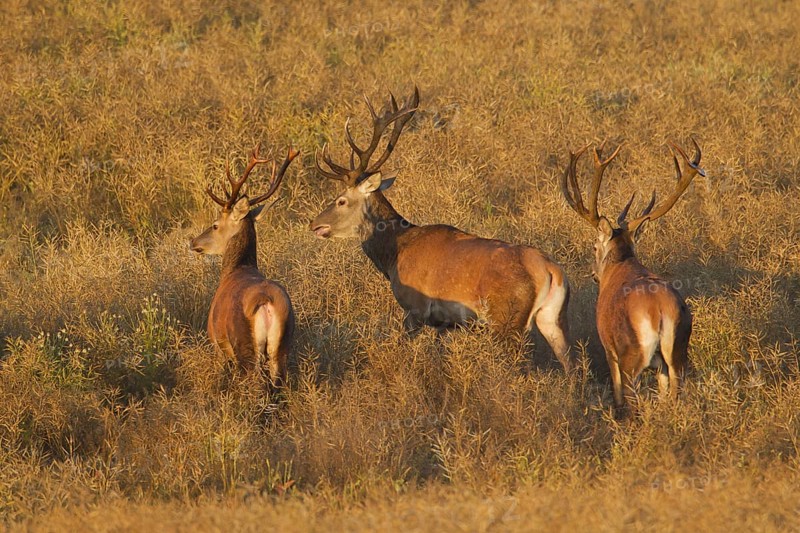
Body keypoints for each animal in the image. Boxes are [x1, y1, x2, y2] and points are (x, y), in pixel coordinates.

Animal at [190, 143, 300, 390]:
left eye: (215, 225)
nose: (194, 242)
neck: (236, 269)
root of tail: (267, 302)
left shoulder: (218, 343)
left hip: (244, 346)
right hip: (283, 346)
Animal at [309, 87, 575, 372]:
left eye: (341, 200)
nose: (315, 224)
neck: (394, 254)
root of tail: (550, 270)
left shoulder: (414, 308)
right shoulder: (446, 324)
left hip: (507, 319)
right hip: (553, 318)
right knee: (573, 366)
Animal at [561, 139, 704, 411]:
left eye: (594, 246)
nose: (593, 274)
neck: (622, 264)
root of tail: (661, 310)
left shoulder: (609, 347)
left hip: (632, 354)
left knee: (629, 400)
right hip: (677, 356)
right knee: (674, 395)